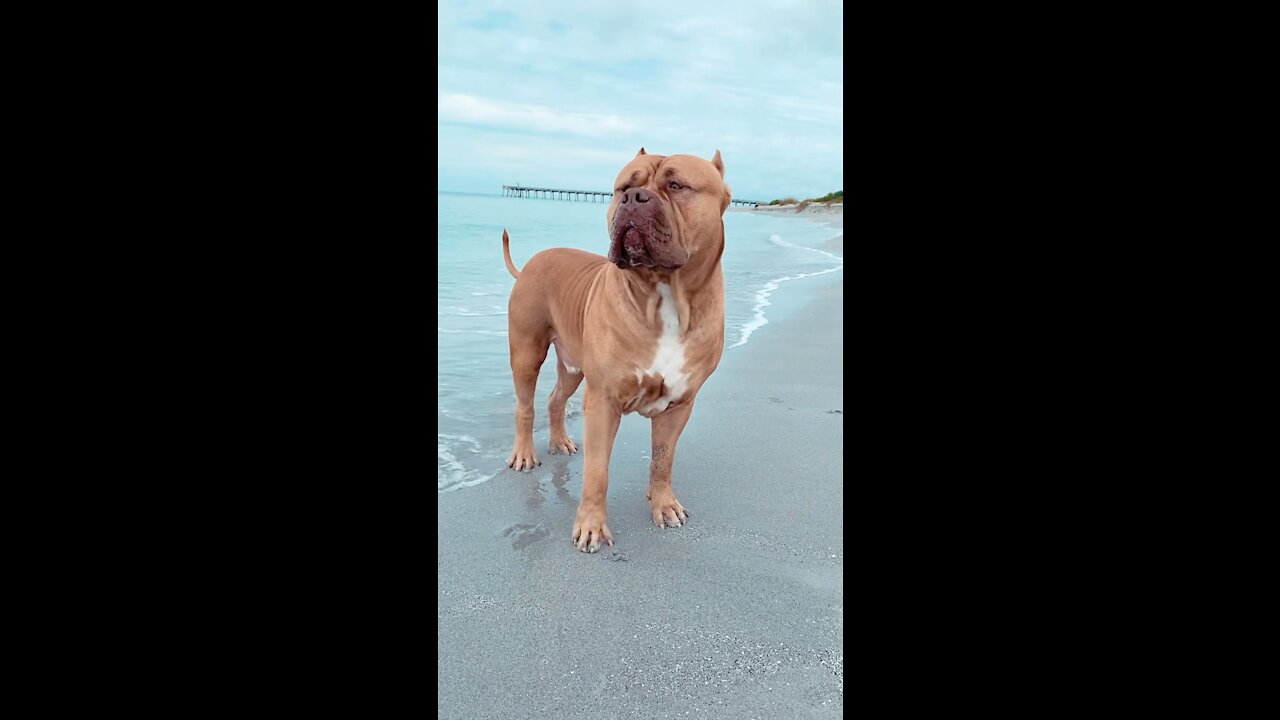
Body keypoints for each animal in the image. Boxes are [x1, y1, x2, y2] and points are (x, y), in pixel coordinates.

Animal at [501, 146, 732, 548]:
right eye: (624, 186)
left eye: (677, 185)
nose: (634, 198)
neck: (665, 297)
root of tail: (532, 261)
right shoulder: (603, 400)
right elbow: (597, 471)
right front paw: (591, 526)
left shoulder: (679, 405)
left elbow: (663, 459)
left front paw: (663, 504)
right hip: (527, 353)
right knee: (525, 406)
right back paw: (525, 454)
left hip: (573, 367)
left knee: (556, 399)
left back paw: (560, 441)